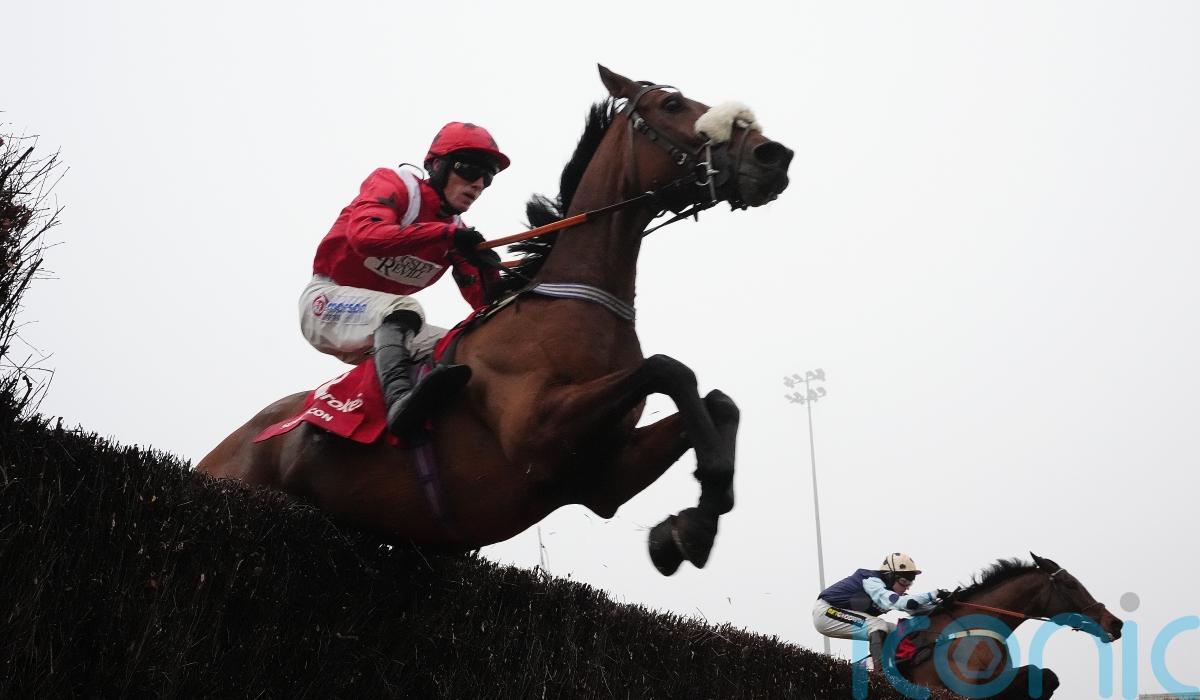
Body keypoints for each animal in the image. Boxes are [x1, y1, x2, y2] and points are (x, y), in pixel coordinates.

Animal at [197, 65, 793, 575]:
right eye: (672, 104)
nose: (774, 155)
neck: (577, 305)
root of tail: (218, 452)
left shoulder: (600, 478)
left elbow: (718, 401)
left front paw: (690, 524)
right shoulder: (536, 436)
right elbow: (670, 369)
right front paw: (699, 510)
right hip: (323, 318)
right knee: (398, 313)